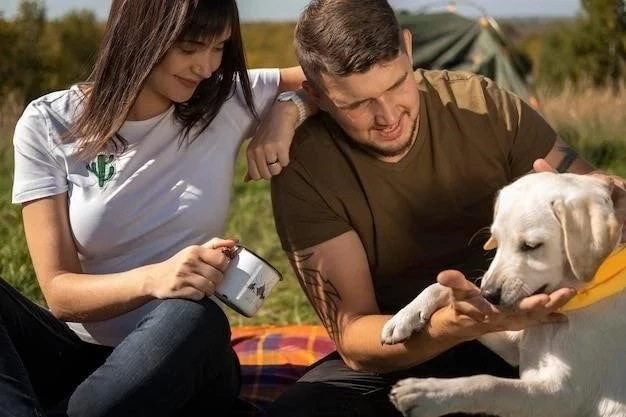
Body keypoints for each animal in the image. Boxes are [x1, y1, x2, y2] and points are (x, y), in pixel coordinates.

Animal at [378, 171, 624, 416]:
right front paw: (405, 316)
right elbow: (441, 286)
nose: (488, 295)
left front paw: (428, 393)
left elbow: (489, 383)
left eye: (531, 246)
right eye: (496, 239)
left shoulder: (565, 396)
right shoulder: (513, 347)